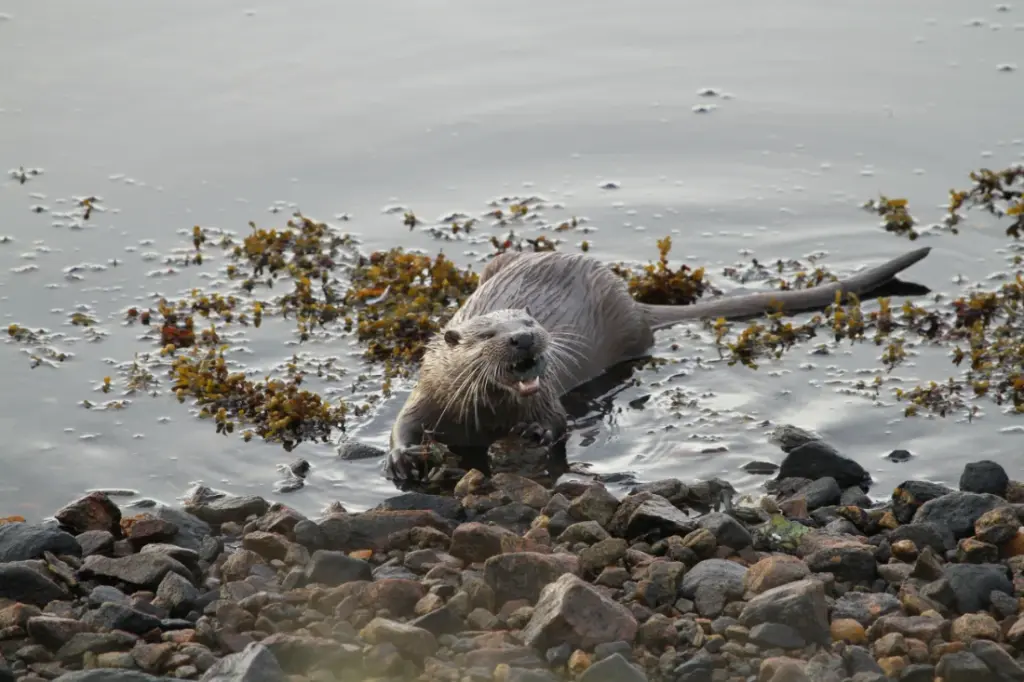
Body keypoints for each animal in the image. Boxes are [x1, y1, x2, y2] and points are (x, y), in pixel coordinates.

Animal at [384, 246, 932, 481]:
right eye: (488, 335)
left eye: (528, 318)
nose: (524, 337)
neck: (484, 418)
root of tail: (632, 301)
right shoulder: (427, 392)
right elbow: (402, 423)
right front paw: (403, 459)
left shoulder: (547, 398)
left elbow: (557, 423)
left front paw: (536, 434)